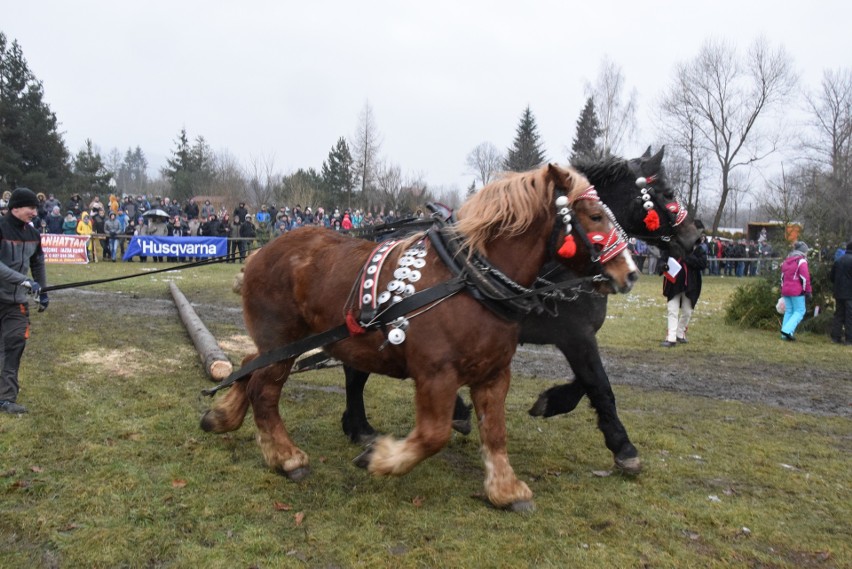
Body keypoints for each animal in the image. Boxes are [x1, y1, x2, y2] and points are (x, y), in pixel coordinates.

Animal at [203, 162, 636, 508]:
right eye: (594, 215)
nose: (629, 273)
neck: (472, 282)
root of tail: (260, 252)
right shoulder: (436, 375)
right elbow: (433, 435)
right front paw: (378, 459)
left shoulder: (494, 374)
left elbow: (495, 432)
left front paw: (506, 490)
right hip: (282, 341)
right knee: (264, 389)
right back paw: (285, 456)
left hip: (281, 344)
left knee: (249, 366)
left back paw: (223, 416)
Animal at [338, 145, 700, 470]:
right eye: (667, 192)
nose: (694, 238)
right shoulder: (576, 335)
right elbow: (599, 384)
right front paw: (623, 446)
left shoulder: (574, 337)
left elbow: (585, 382)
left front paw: (551, 402)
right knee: (356, 370)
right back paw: (364, 426)